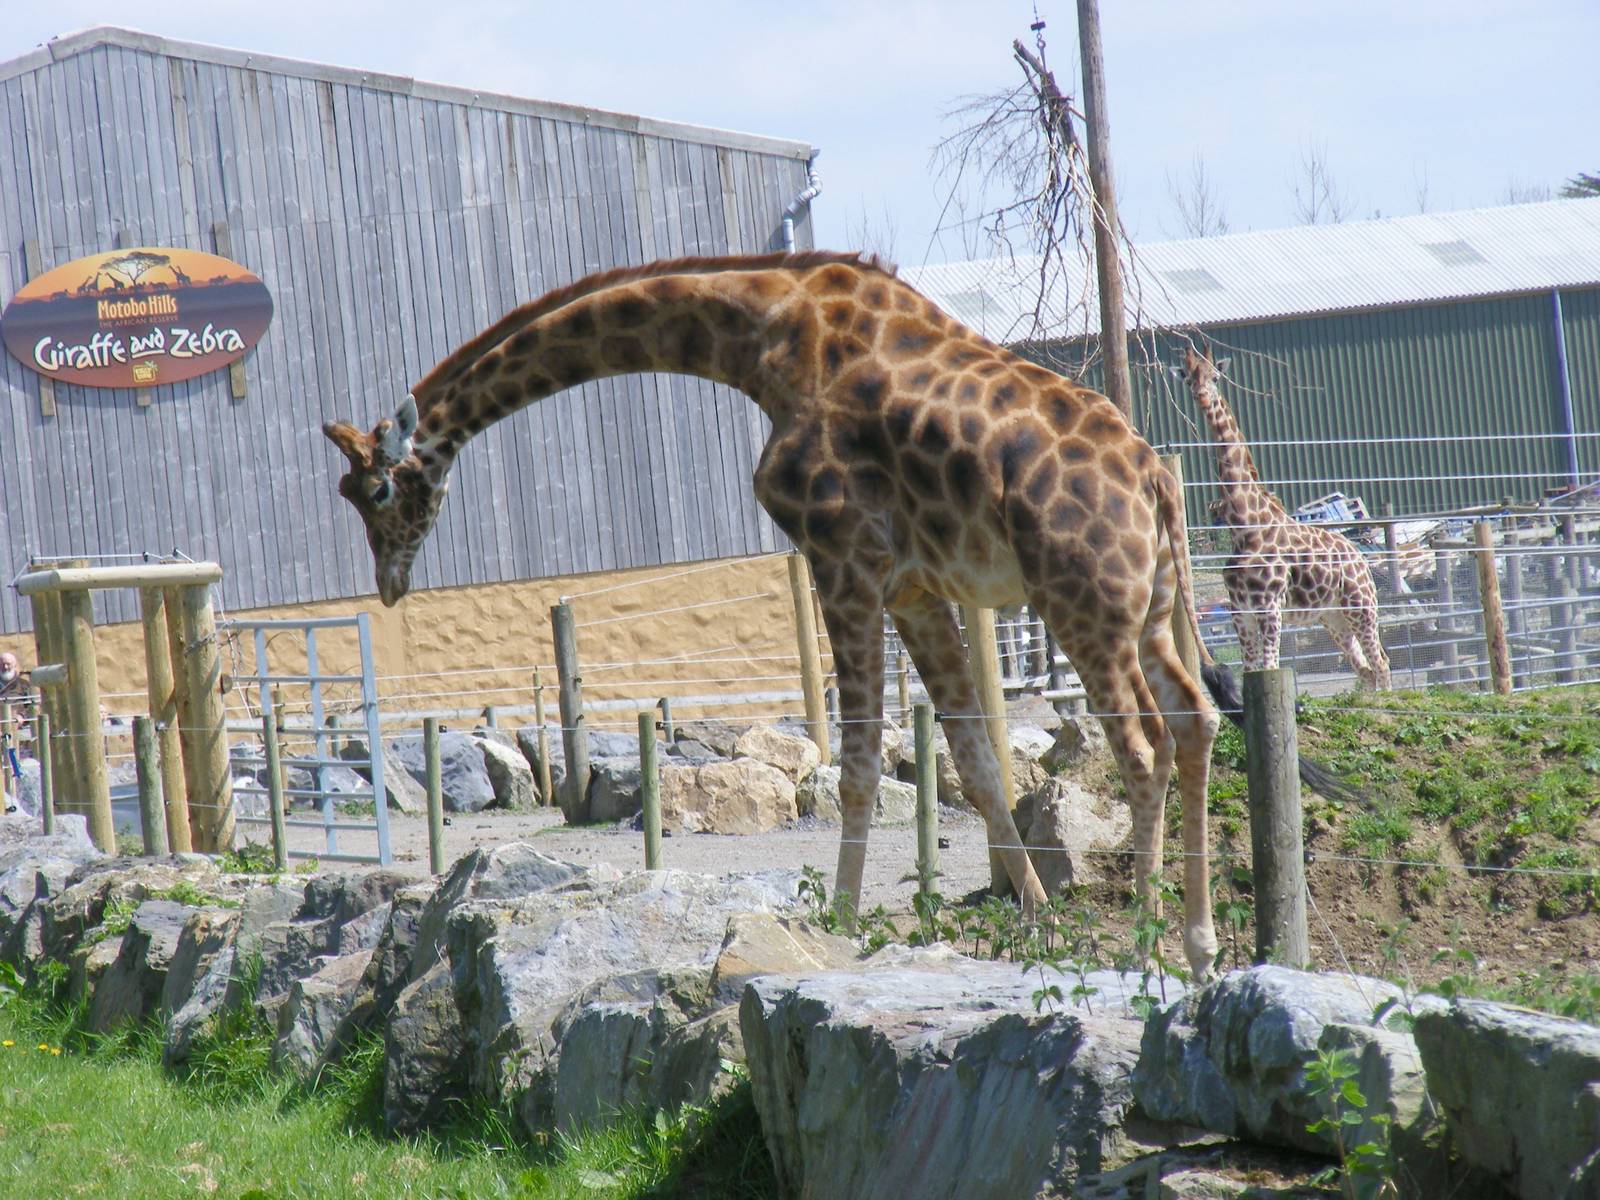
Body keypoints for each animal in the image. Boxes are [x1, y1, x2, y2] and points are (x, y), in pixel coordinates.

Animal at [325, 251, 1228, 979]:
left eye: (376, 491)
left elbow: (856, 766)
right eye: (351, 498)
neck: (762, 345)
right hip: (1148, 613)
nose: (388, 585)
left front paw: (843, 922)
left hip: (1083, 604)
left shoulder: (844, 560)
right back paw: (1200, 946)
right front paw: (1037, 925)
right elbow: (973, 761)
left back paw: (1147, 943)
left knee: (1141, 746)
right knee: (1196, 720)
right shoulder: (914, 588)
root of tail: (1157, 480)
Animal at [1182, 345, 1391, 690]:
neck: (1245, 526)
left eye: (1215, 376)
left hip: (1361, 606)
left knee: (1382, 664)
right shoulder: (1240, 610)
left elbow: (1270, 666)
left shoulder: (1269, 607)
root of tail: (1360, 558)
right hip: (1331, 616)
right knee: (1365, 669)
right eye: (1188, 378)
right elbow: (1251, 671)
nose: (1201, 397)